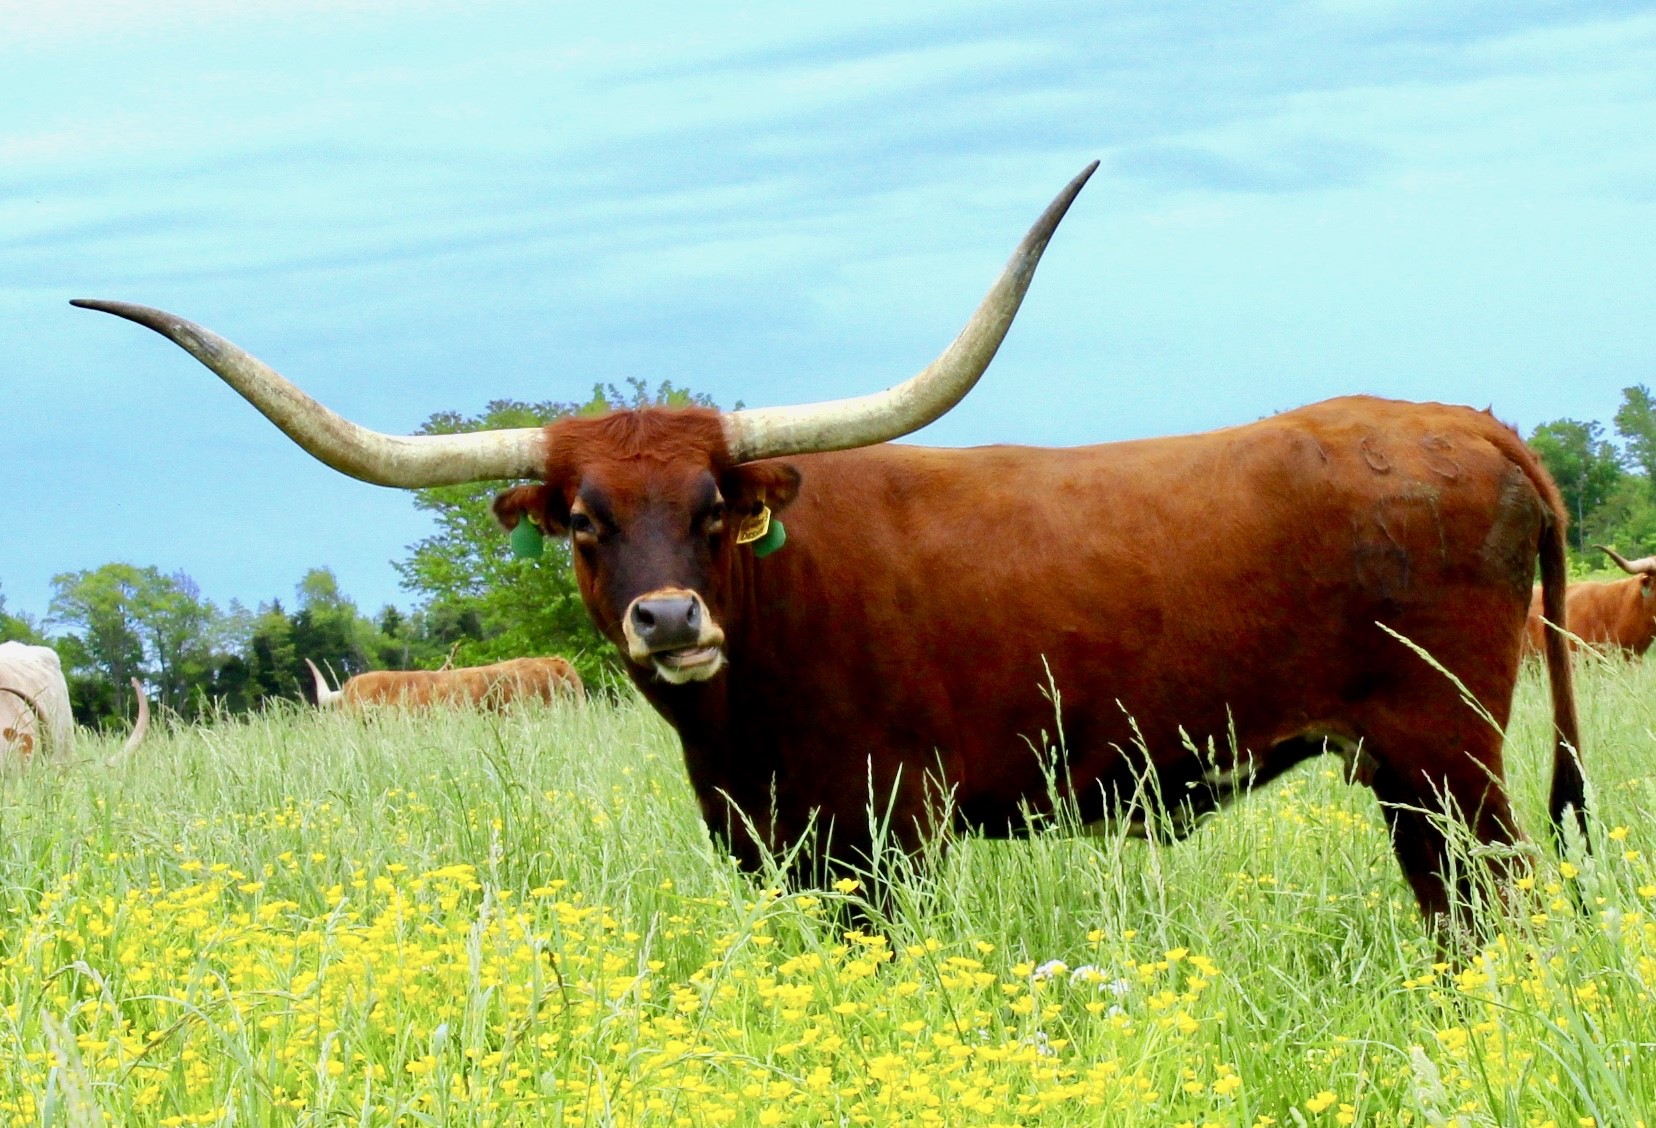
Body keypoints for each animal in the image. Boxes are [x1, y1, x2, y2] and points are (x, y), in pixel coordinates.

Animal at [74, 162, 1585, 941]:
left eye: (711, 502)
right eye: (583, 518)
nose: (670, 622)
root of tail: (1475, 427)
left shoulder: (884, 837)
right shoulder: (781, 845)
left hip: (1448, 751)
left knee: (1498, 901)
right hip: (1408, 771)